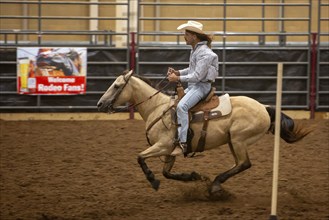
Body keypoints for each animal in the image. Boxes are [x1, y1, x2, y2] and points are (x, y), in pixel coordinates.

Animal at [96, 70, 310, 196]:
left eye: (116, 86)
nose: (100, 104)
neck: (156, 108)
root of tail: (264, 108)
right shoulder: (170, 151)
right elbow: (167, 172)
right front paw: (194, 176)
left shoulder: (163, 146)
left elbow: (140, 157)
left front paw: (152, 180)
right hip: (232, 141)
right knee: (239, 164)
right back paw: (215, 183)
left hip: (239, 140)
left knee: (244, 163)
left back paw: (215, 185)